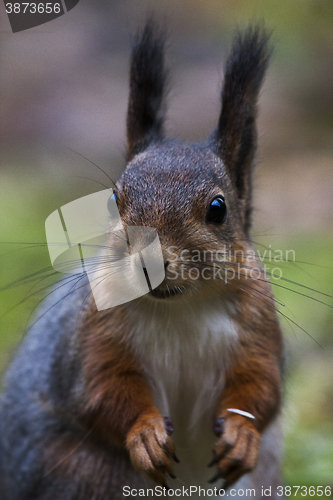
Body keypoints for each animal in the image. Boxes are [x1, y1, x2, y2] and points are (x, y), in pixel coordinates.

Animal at [0, 19, 282, 500]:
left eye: (218, 208)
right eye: (114, 200)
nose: (149, 262)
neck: (182, 307)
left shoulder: (258, 326)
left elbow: (263, 387)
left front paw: (242, 436)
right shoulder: (95, 332)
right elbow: (102, 390)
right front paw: (146, 434)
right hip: (84, 472)